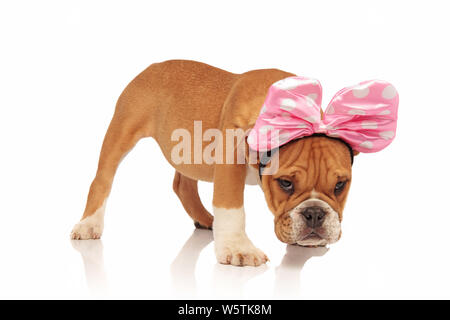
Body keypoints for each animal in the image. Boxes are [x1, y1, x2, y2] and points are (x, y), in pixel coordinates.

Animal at [70, 60, 398, 268]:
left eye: (340, 185)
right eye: (286, 183)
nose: (315, 214)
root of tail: (152, 66)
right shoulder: (229, 160)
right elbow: (232, 207)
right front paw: (238, 249)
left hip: (190, 154)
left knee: (182, 184)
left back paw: (205, 219)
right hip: (122, 129)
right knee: (102, 179)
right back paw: (89, 224)